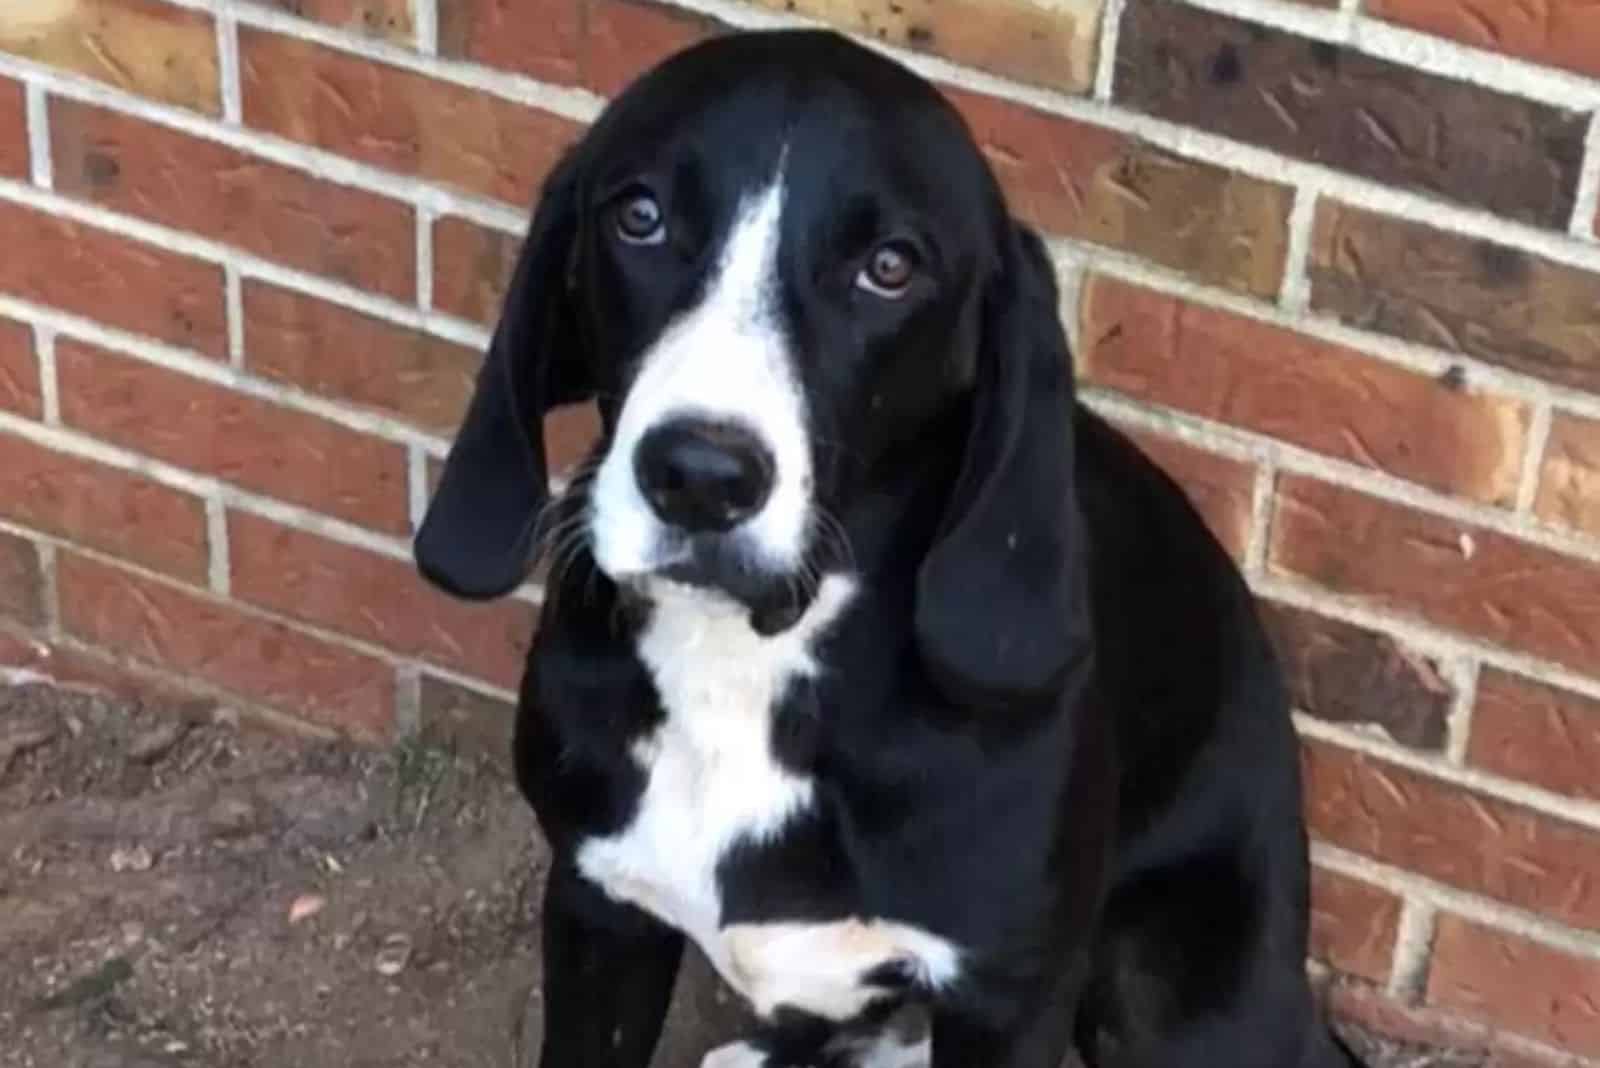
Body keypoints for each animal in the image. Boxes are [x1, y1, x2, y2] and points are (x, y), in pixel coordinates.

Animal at [416, 24, 1363, 1068]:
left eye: (891, 267)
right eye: (640, 216)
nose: (700, 475)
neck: (746, 666)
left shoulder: (1009, 997)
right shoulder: (598, 911)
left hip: (1175, 994)